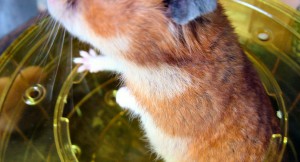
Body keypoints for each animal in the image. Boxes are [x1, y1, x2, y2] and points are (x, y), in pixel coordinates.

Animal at [46, 0, 278, 161]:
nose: (46, 4)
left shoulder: (165, 106)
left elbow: (136, 102)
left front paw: (121, 94)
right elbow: (109, 60)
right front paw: (82, 60)